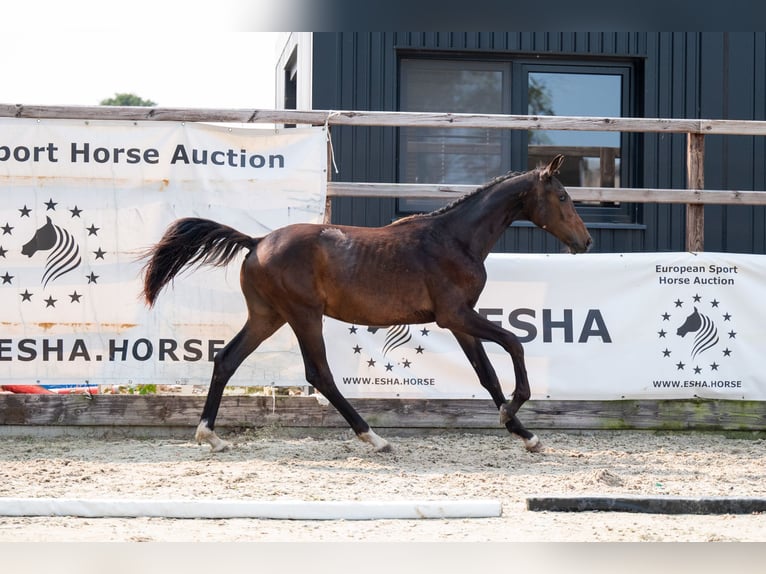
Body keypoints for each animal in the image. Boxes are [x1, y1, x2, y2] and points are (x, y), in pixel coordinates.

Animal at [141, 155, 592, 456]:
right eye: (563, 196)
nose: (586, 242)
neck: (454, 239)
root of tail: (257, 241)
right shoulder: (456, 315)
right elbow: (514, 343)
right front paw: (514, 414)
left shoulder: (460, 322)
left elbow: (487, 376)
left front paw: (525, 434)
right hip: (303, 315)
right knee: (319, 374)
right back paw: (374, 437)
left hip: (268, 316)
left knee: (227, 359)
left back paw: (210, 435)